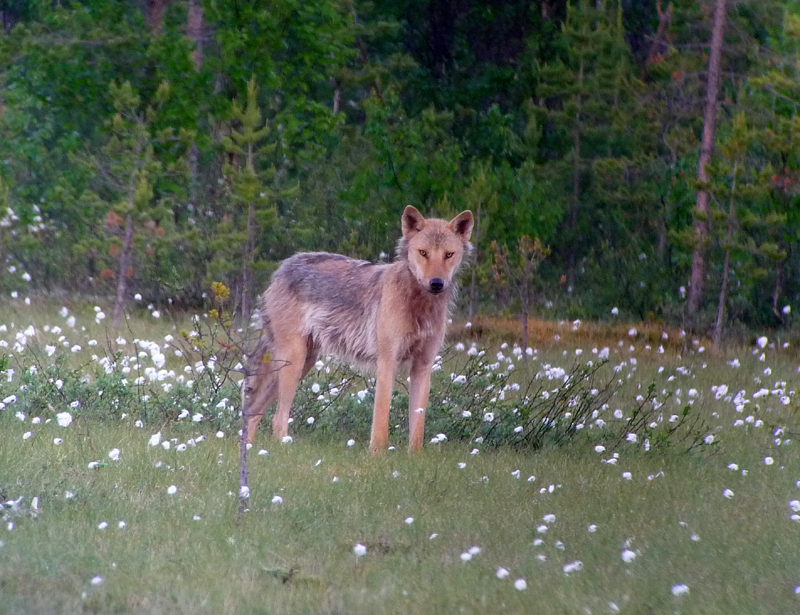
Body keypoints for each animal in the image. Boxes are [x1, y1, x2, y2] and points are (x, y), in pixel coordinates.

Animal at [244, 207, 476, 452]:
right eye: (423, 253)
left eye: (448, 255)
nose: (436, 283)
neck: (419, 306)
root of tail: (282, 268)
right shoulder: (387, 362)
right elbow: (381, 419)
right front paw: (377, 455)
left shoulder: (423, 366)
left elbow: (418, 427)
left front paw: (414, 456)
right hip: (294, 362)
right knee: (277, 419)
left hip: (303, 363)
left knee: (254, 414)